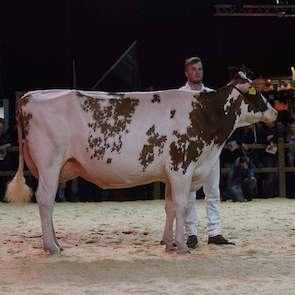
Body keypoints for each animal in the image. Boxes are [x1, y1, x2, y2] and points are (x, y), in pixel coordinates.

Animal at [5, 73, 278, 256]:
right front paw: (182, 246)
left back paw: (57, 243)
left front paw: (169, 243)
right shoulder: (181, 167)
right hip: (49, 165)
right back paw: (51, 247)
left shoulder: (172, 173)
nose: (275, 112)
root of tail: (30, 96)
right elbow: (181, 206)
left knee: (48, 203)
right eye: (257, 93)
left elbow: (170, 207)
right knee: (45, 200)